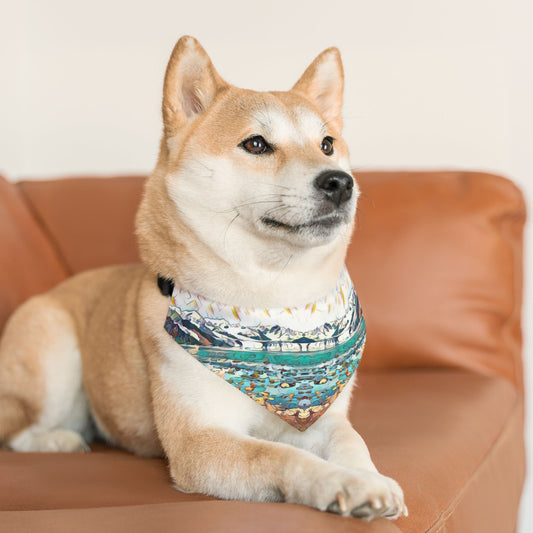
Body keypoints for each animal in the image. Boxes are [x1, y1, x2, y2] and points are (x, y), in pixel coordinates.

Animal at [0, 35, 406, 516]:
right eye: (256, 144)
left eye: (327, 144)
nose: (340, 182)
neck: (272, 297)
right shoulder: (199, 440)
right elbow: (281, 456)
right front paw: (343, 483)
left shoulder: (325, 418)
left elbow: (351, 442)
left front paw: (369, 477)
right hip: (53, 356)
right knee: (18, 431)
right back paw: (60, 440)